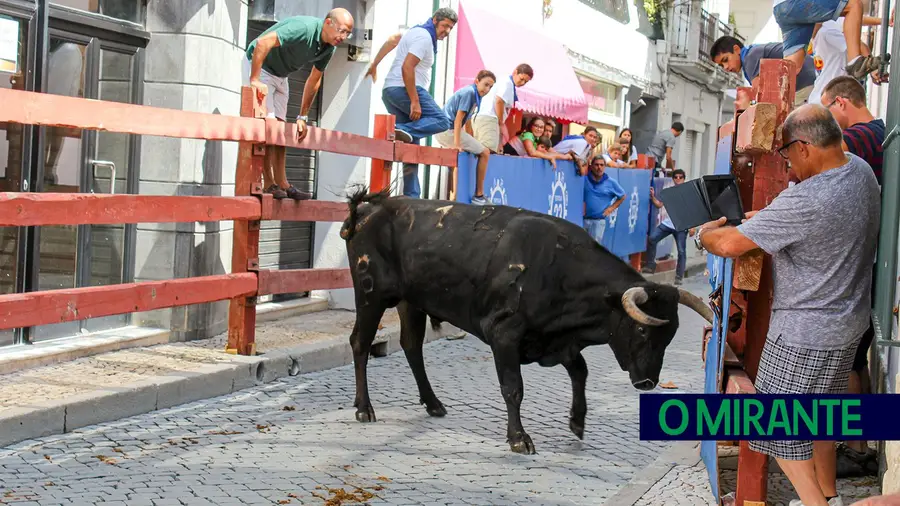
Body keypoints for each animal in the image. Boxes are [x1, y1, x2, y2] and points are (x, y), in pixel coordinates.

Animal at [338, 187, 712, 454]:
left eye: (669, 338)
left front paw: (577, 421)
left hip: (412, 301)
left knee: (412, 346)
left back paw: (433, 404)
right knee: (360, 343)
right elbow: (513, 388)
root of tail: (372, 209)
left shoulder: (556, 340)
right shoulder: (504, 334)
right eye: (641, 329)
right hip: (371, 296)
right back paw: (364, 408)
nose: (648, 382)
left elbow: (581, 372)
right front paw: (519, 438)